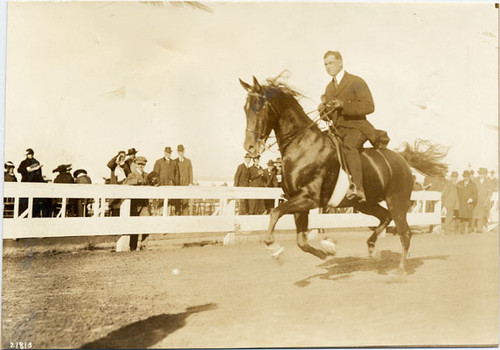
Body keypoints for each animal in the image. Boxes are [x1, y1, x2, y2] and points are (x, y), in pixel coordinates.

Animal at [240, 76, 448, 272]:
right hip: (366, 204)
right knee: (385, 217)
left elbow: (275, 213)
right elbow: (301, 241)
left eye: (259, 108)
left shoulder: (309, 198)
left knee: (405, 232)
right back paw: (372, 248)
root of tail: (402, 158)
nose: (249, 147)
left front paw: (275, 250)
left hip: (397, 201)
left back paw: (401, 269)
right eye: (245, 108)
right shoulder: (298, 200)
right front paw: (327, 250)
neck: (302, 144)